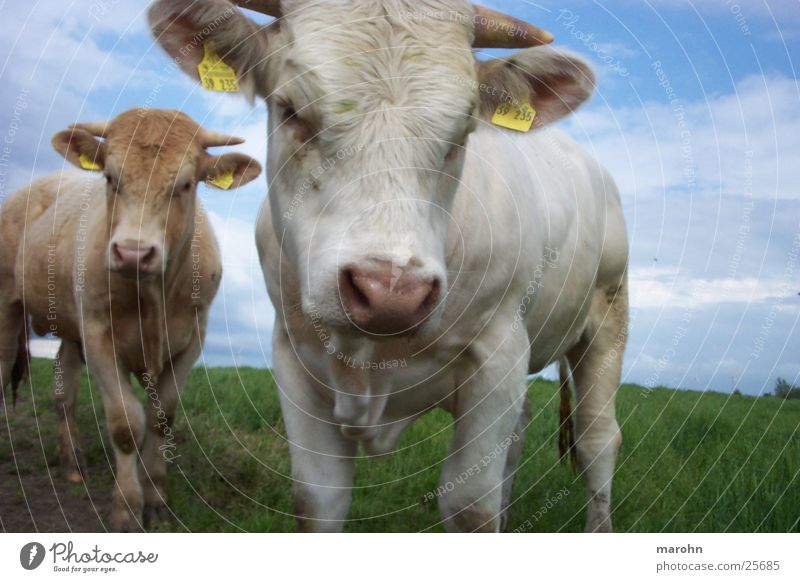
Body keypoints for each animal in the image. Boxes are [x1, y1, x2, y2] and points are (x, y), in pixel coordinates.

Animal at [148, 0, 624, 532]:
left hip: (607, 316)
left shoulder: (499, 352)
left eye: (463, 134)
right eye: (290, 109)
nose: (391, 294)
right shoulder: (293, 357)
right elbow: (318, 501)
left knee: (597, 439)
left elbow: (470, 506)